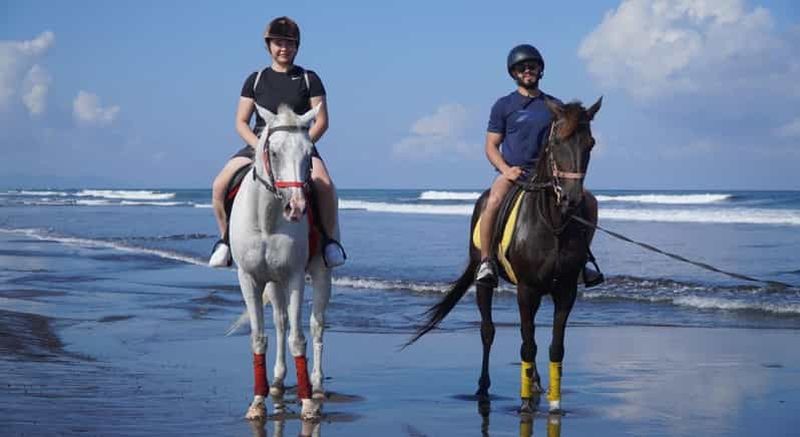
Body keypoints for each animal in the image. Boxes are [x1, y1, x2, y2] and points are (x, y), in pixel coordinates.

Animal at [228, 103, 336, 421]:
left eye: (309, 152)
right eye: (274, 152)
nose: (296, 207)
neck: (266, 220)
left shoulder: (294, 277)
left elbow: (298, 339)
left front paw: (307, 403)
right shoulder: (249, 278)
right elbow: (259, 337)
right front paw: (257, 402)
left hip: (320, 274)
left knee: (316, 325)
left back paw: (317, 384)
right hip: (273, 284)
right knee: (279, 322)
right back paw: (275, 381)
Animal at [405, 97, 602, 414]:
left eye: (590, 143)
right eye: (557, 141)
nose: (571, 199)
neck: (552, 223)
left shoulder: (565, 290)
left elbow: (555, 347)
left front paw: (555, 404)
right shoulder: (527, 289)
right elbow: (527, 344)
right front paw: (524, 404)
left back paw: (535, 383)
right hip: (486, 280)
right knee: (488, 330)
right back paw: (484, 389)